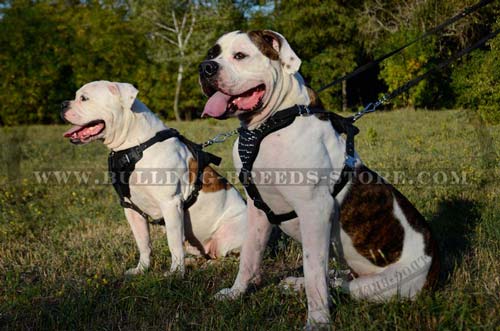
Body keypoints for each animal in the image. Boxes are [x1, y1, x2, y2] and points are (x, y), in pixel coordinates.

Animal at [61, 81, 248, 278]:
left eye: (84, 98)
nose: (62, 104)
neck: (136, 146)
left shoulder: (170, 204)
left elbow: (173, 242)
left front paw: (175, 273)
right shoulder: (131, 209)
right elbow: (143, 243)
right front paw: (141, 269)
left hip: (230, 234)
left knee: (232, 257)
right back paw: (194, 262)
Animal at [197, 30, 440, 330]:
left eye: (240, 55)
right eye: (212, 53)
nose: (206, 68)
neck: (268, 126)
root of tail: (435, 265)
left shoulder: (315, 210)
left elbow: (314, 270)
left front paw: (318, 320)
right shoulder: (258, 211)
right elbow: (249, 257)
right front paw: (236, 293)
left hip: (382, 287)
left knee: (339, 284)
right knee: (335, 277)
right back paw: (294, 284)